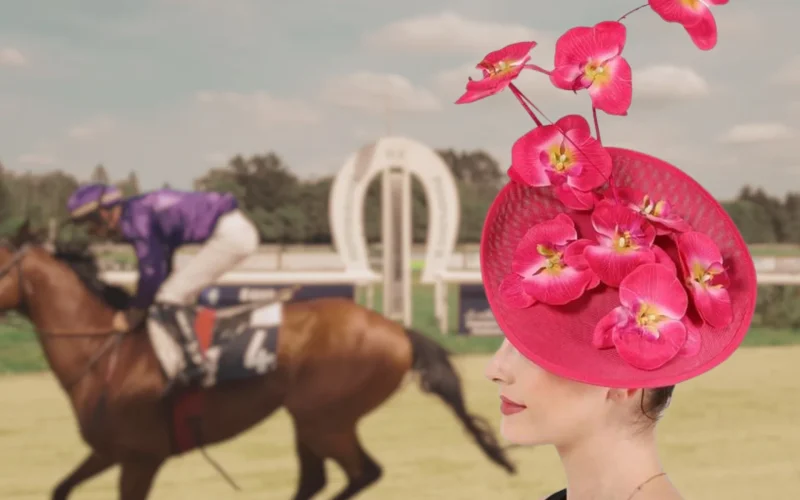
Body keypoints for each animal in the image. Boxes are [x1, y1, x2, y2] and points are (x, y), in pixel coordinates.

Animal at [0, 223, 516, 500]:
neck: (107, 354)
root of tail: (395, 329)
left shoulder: (140, 459)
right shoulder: (109, 451)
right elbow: (59, 488)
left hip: (325, 419)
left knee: (362, 473)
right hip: (310, 419)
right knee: (317, 478)